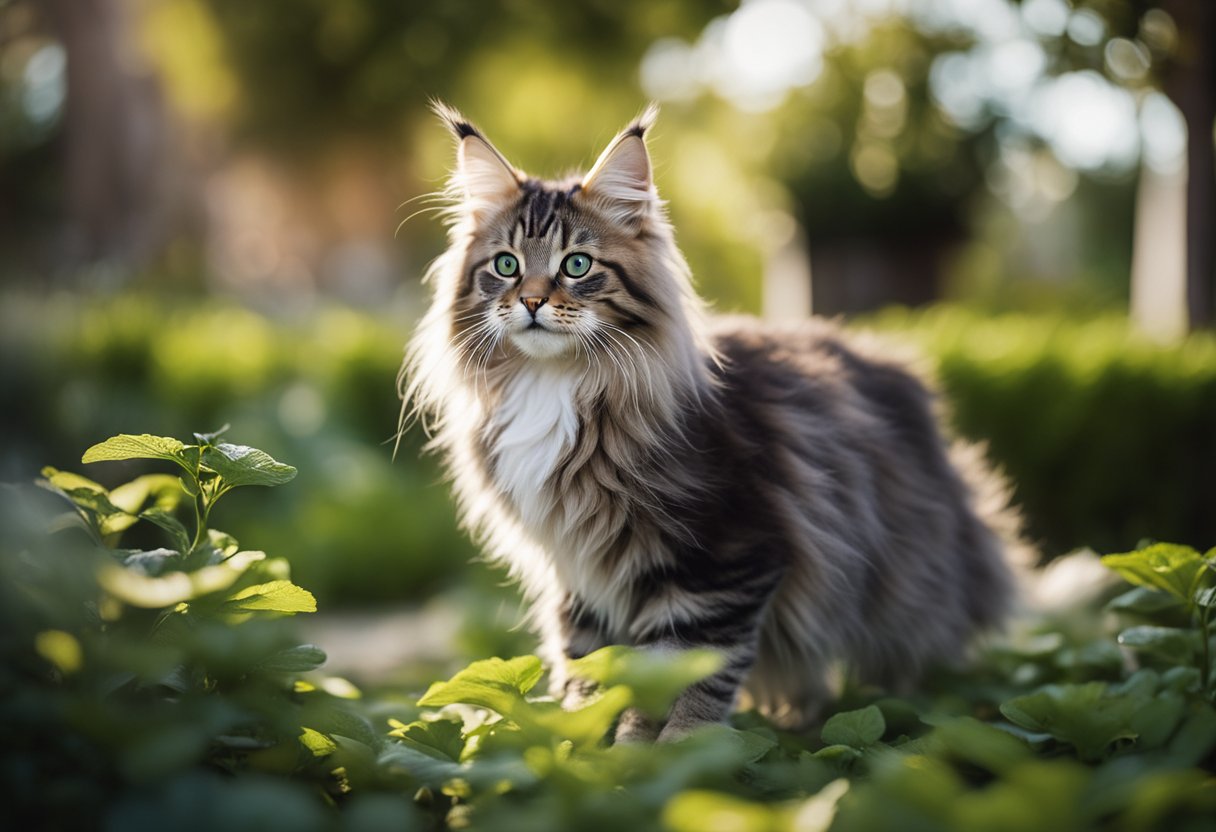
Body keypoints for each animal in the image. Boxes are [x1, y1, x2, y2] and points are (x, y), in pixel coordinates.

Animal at [401, 102, 1026, 739]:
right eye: (506, 265)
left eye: (576, 265)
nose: (529, 301)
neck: (556, 386)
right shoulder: (578, 575)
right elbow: (588, 676)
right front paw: (579, 746)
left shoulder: (726, 559)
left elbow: (687, 682)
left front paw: (666, 752)